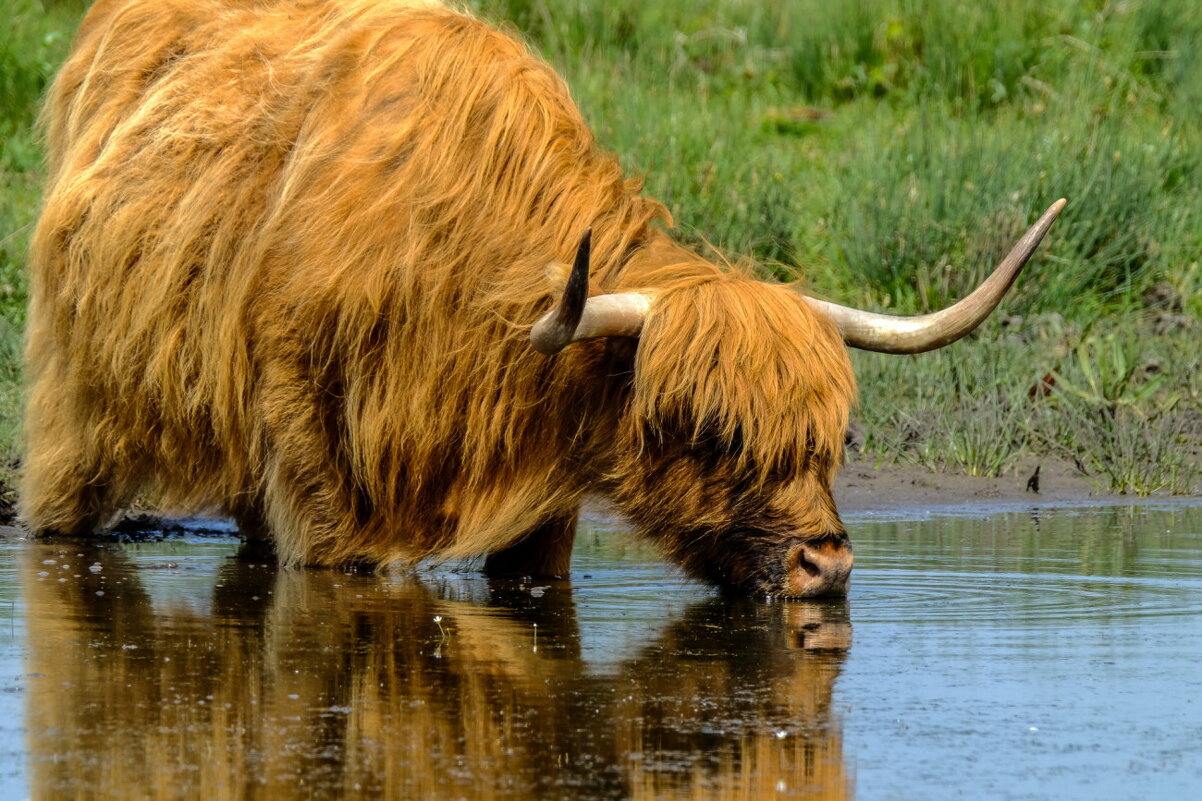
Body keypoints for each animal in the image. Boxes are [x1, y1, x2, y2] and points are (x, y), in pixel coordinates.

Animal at [23, 0, 1062, 591]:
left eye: (831, 440)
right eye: (711, 432)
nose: (828, 564)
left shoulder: (543, 493)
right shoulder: (314, 458)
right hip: (78, 399)